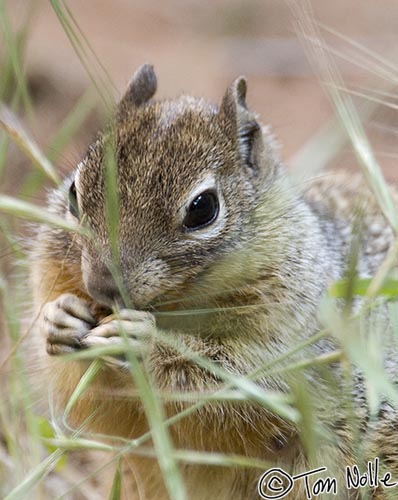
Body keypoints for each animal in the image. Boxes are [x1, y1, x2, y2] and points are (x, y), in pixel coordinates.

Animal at [30, 64, 398, 498]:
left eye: (203, 208)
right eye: (74, 193)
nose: (103, 286)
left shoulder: (298, 346)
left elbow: (237, 384)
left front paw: (144, 342)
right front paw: (59, 318)